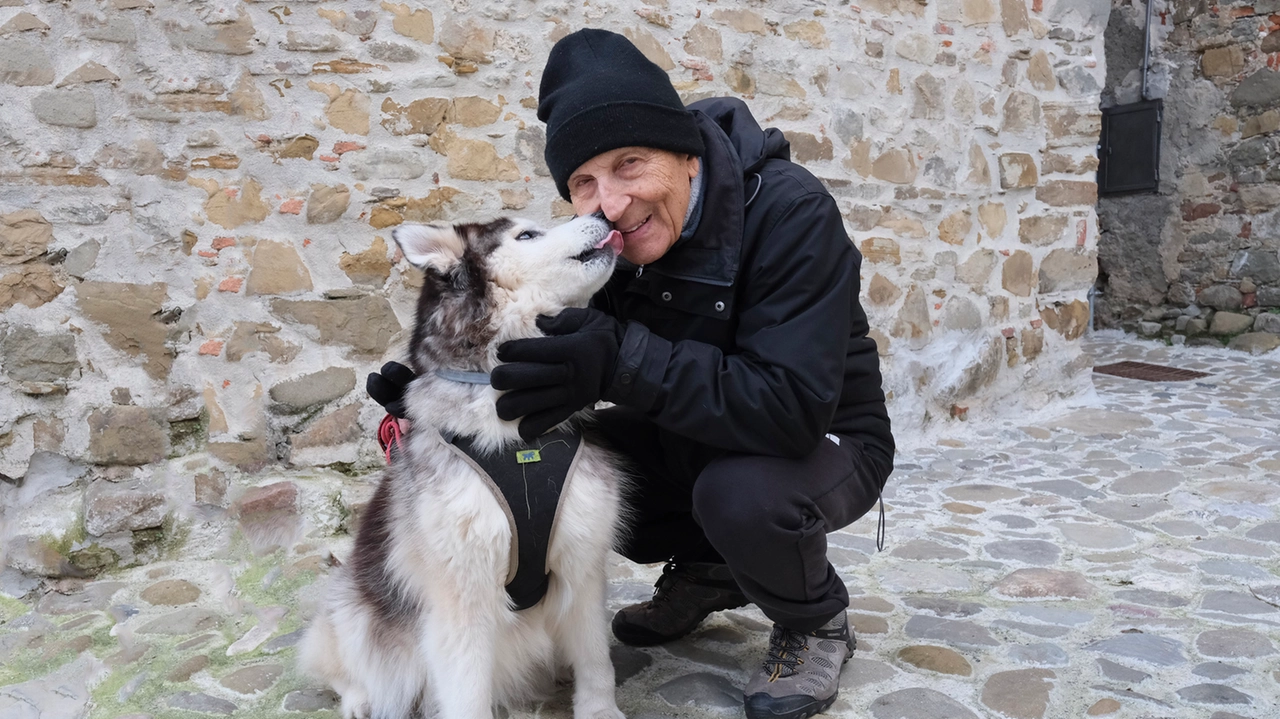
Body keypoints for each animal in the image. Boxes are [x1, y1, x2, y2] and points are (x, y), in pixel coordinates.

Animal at [294, 214, 624, 716]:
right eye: (527, 235)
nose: (604, 215)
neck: (518, 438)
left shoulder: (582, 567)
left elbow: (595, 660)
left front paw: (599, 710)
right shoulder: (462, 596)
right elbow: (467, 690)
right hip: (354, 607)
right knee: (346, 664)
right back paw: (358, 700)